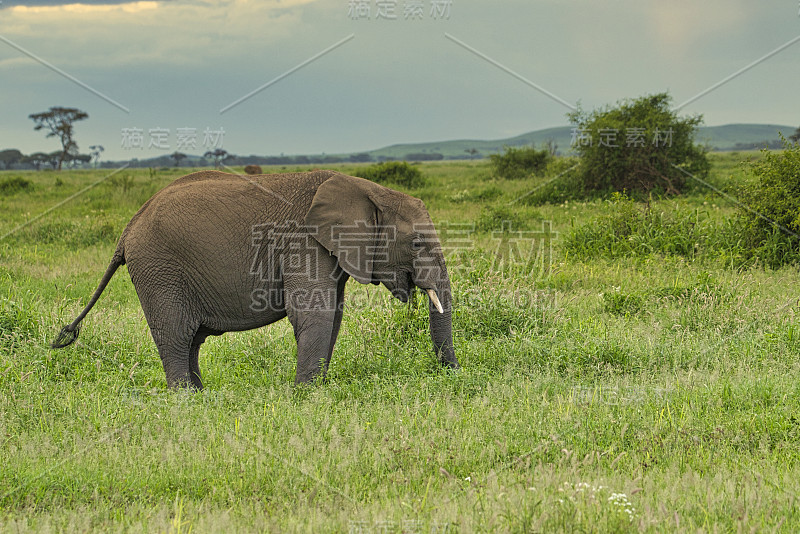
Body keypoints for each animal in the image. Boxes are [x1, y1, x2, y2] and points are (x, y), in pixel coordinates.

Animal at [53, 171, 460, 390]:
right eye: (417, 242)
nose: (454, 375)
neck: (367, 188)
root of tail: (128, 229)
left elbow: (333, 317)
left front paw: (316, 389)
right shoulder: (303, 242)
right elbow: (315, 315)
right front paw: (305, 395)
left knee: (193, 339)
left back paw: (202, 396)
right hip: (158, 268)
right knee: (176, 334)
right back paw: (184, 399)